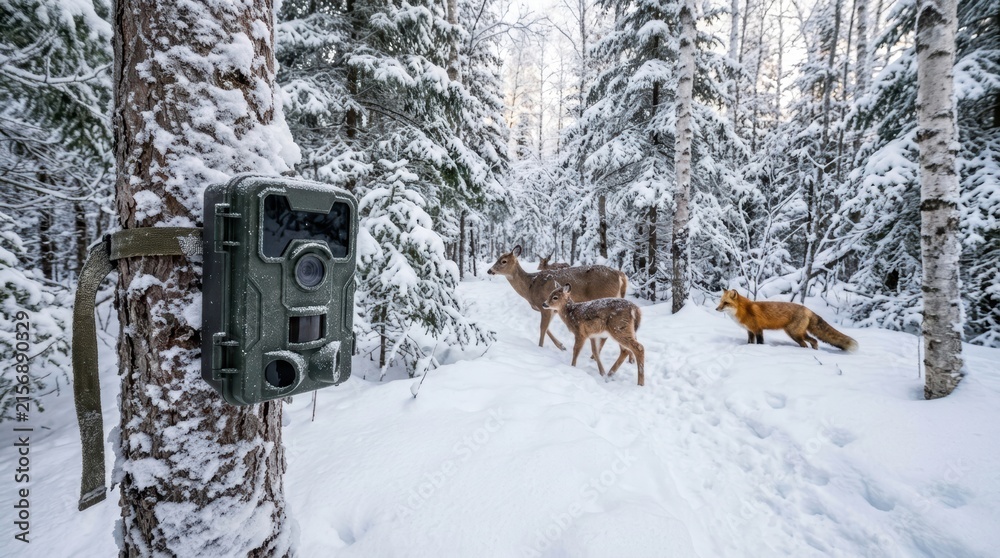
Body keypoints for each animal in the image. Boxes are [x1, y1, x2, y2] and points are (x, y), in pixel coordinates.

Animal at [487, 244, 628, 352]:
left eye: (503, 261)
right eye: (498, 258)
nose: (489, 270)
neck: (530, 286)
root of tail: (620, 275)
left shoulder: (544, 305)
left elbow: (542, 328)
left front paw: (540, 348)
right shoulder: (551, 309)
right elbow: (547, 328)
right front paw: (561, 346)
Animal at [715, 289, 858, 352]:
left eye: (725, 303)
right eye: (720, 302)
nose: (716, 309)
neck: (744, 310)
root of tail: (807, 309)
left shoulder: (758, 330)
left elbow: (760, 343)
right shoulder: (750, 331)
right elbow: (750, 342)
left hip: (795, 334)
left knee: (810, 342)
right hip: (798, 334)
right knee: (814, 341)